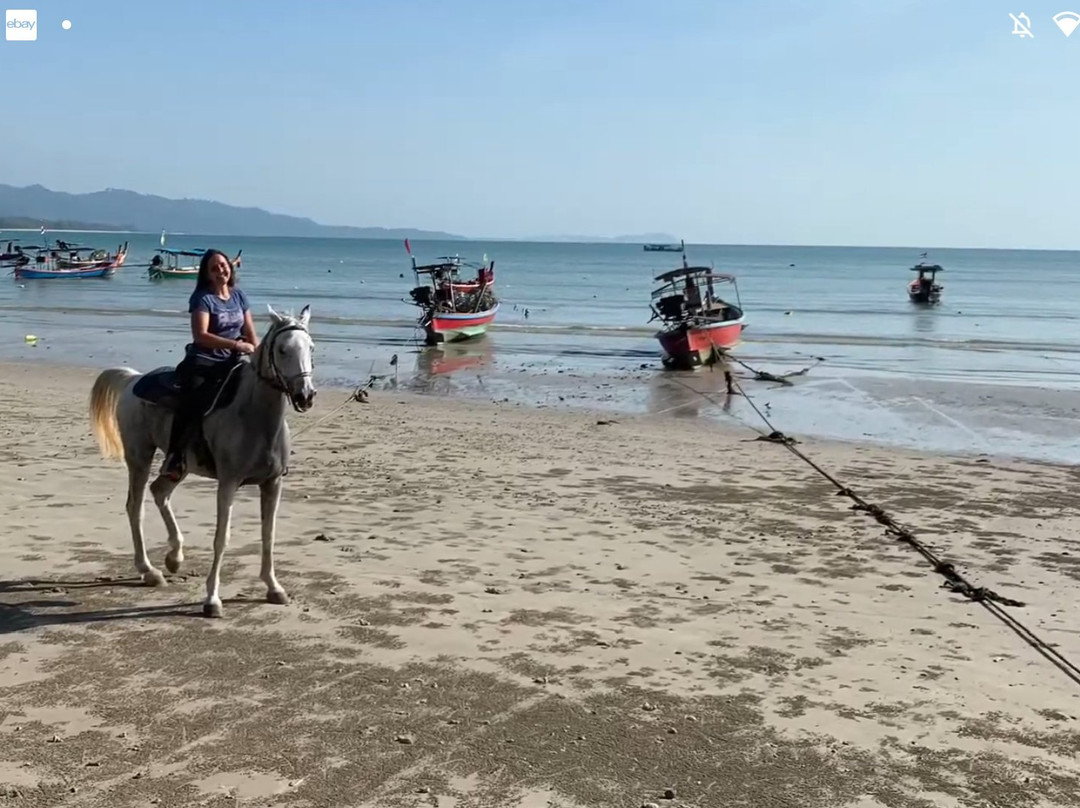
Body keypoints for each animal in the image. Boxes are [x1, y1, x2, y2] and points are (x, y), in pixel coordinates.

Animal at [88, 305, 316, 618]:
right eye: (282, 350)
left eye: (311, 348)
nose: (305, 395)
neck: (254, 417)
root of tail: (133, 379)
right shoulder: (228, 483)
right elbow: (222, 539)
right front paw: (212, 599)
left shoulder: (272, 484)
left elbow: (268, 535)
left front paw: (274, 588)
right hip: (139, 456)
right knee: (135, 506)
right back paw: (149, 571)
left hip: (179, 465)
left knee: (160, 492)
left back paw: (174, 557)